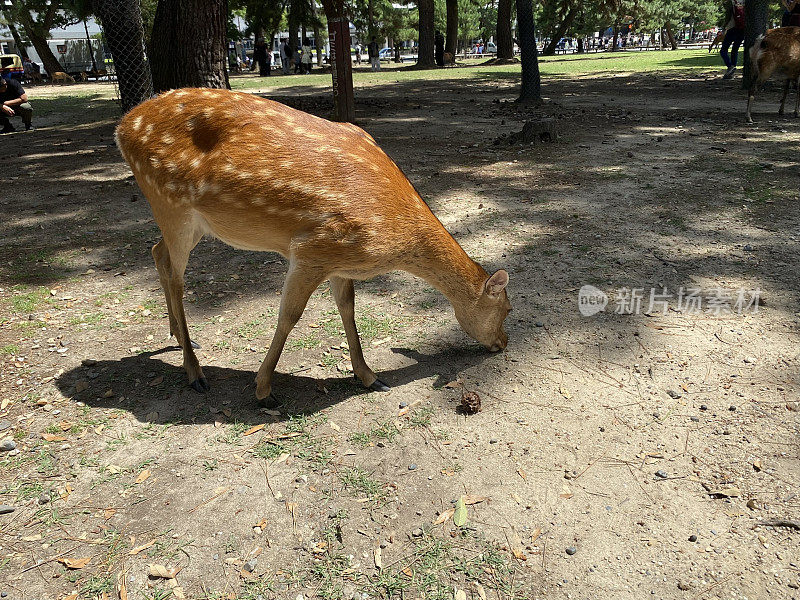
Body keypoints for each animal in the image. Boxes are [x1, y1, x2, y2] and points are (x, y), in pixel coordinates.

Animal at [115, 89, 510, 404]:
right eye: (506, 309)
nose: (503, 342)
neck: (394, 234)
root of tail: (122, 127)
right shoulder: (313, 249)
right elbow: (289, 315)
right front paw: (263, 390)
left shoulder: (340, 259)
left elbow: (348, 308)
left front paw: (370, 377)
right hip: (171, 203)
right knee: (174, 274)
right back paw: (195, 372)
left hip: (191, 221)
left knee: (157, 253)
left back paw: (180, 339)